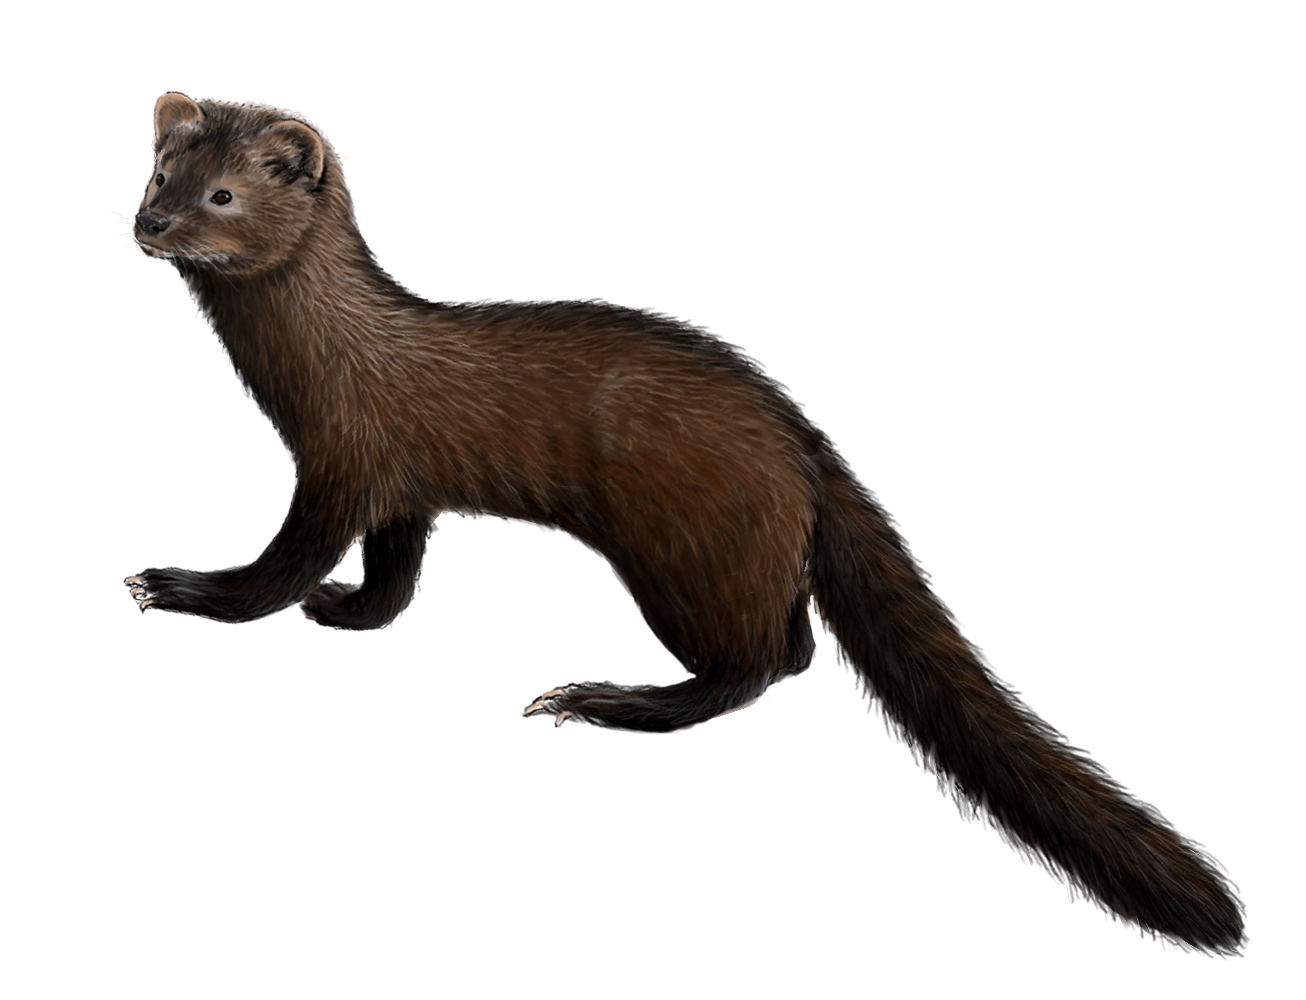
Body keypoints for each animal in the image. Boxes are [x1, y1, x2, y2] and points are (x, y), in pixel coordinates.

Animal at [126, 92, 1243, 952]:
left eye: (222, 194)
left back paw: (606, 699)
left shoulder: (338, 465)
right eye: (157, 177)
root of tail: (800, 435)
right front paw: (344, 607)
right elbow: (392, 580)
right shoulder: (400, 487)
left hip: (680, 552)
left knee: (757, 661)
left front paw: (182, 586)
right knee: (792, 645)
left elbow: (276, 569)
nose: (151, 228)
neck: (318, 369)